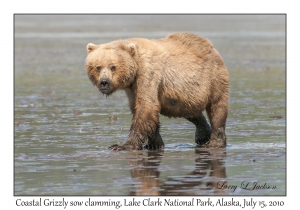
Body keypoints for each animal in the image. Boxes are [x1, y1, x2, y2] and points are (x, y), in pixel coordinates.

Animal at [85, 32, 230, 150]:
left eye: (113, 67)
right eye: (98, 67)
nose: (104, 82)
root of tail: (211, 46)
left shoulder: (148, 74)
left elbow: (146, 106)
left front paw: (122, 145)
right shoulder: (133, 88)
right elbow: (142, 108)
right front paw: (155, 143)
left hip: (213, 78)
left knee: (217, 108)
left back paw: (215, 142)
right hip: (185, 94)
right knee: (188, 108)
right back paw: (203, 134)